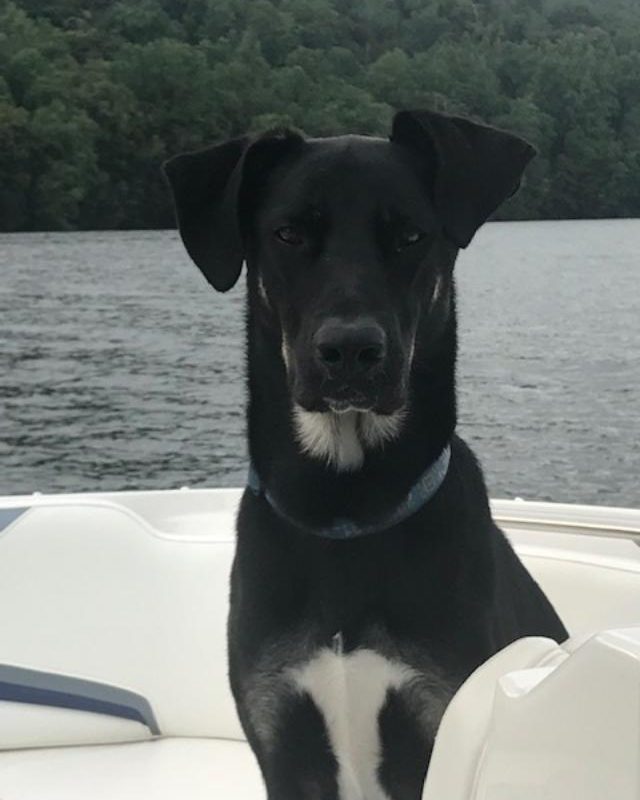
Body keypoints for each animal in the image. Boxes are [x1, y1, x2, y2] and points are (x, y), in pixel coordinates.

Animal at [164, 109, 568, 800]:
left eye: (409, 235)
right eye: (289, 233)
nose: (350, 351)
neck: (344, 511)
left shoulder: (437, 715)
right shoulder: (280, 741)